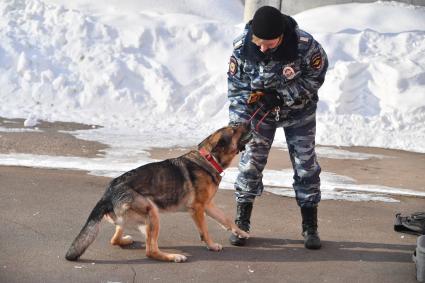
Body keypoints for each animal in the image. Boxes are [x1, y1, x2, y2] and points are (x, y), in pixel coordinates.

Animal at [65, 124, 252, 264]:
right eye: (234, 130)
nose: (248, 122)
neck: (209, 159)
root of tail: (107, 195)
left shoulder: (208, 206)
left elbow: (226, 219)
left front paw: (241, 232)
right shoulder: (198, 209)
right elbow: (205, 232)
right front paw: (211, 246)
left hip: (134, 220)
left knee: (115, 239)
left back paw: (127, 240)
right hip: (152, 212)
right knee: (150, 251)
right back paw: (174, 257)